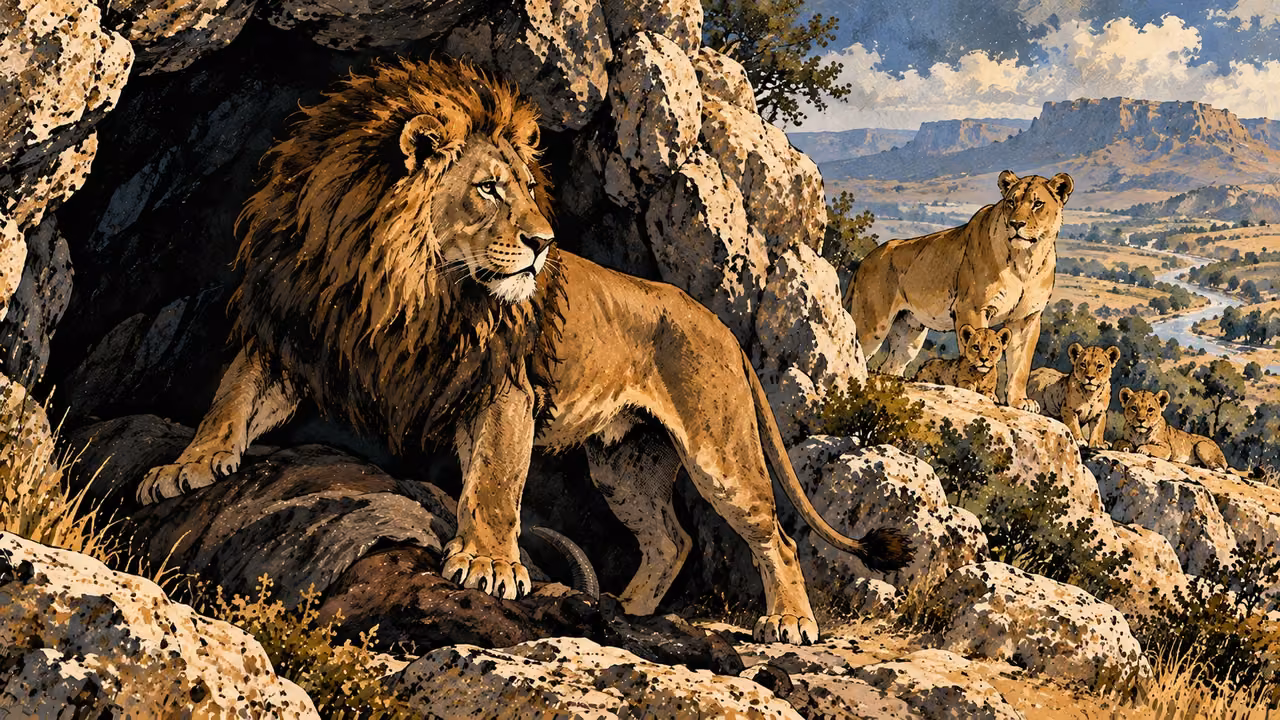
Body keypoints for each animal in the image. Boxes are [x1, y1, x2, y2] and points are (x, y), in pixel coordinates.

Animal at [138, 58, 912, 645]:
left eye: (527, 190)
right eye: (488, 188)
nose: (543, 244)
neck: (395, 278)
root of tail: (715, 321)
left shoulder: (500, 386)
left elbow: (494, 481)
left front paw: (488, 566)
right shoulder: (298, 334)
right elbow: (229, 399)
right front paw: (184, 468)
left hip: (718, 450)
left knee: (775, 536)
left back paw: (791, 625)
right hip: (623, 463)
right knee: (672, 540)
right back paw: (624, 612)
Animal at [845, 170, 1073, 412]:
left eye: (1037, 204)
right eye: (1012, 202)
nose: (1016, 223)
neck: (1026, 259)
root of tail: (866, 259)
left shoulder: (1026, 318)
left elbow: (1021, 365)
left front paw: (1020, 401)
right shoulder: (971, 307)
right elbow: (972, 349)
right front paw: (975, 391)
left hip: (909, 334)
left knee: (890, 366)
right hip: (873, 326)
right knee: (857, 353)